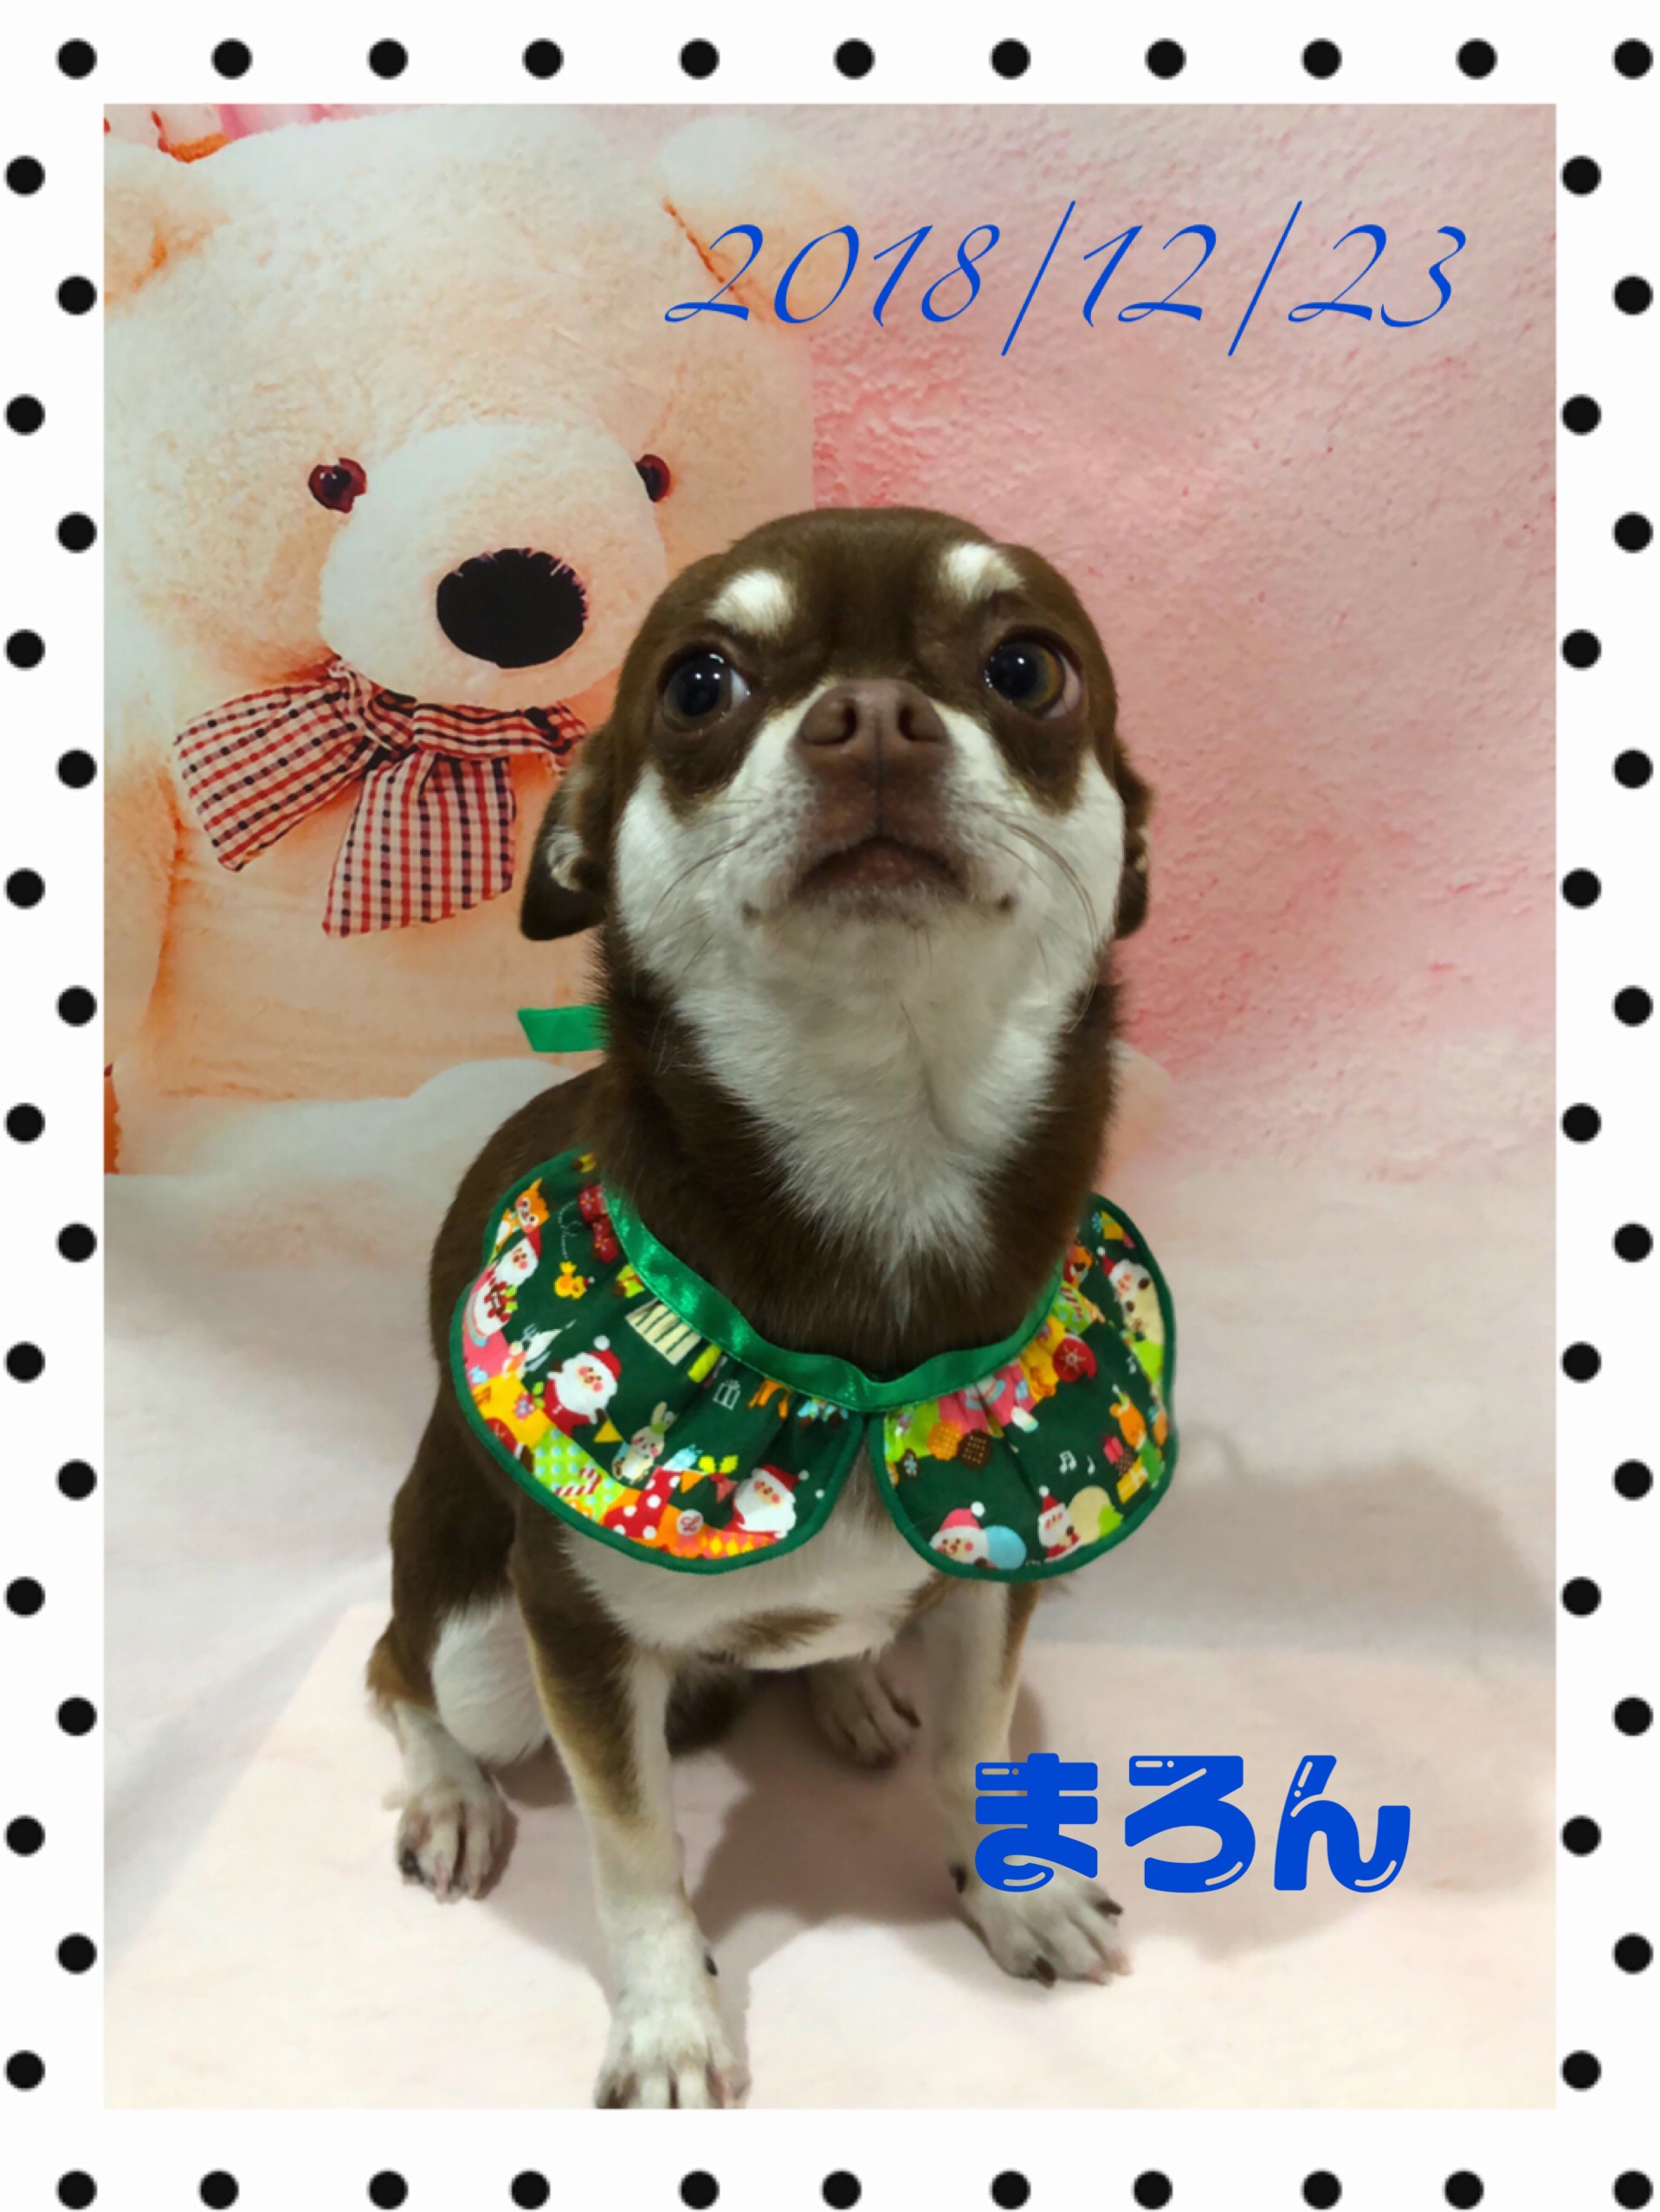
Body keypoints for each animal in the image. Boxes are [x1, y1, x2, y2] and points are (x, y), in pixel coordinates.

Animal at [367, 504, 1158, 2108]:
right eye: (698, 685)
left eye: (1026, 668)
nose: (873, 718)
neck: (883, 1145)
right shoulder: (574, 1633)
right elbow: (635, 1855)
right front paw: (670, 2021)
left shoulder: (995, 1565)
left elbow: (980, 1746)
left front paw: (1015, 1892)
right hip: (481, 1636)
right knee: (400, 1664)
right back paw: (449, 1794)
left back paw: (849, 1686)